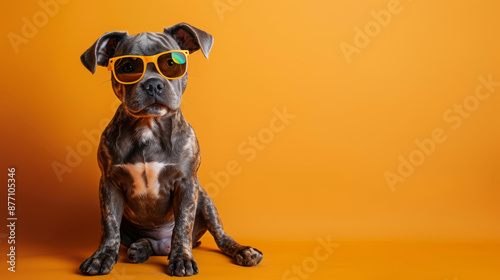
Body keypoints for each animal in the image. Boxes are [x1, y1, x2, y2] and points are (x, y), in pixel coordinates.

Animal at [78, 23, 262, 276]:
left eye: (172, 64)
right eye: (127, 67)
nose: (153, 84)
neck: (149, 127)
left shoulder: (187, 184)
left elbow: (182, 226)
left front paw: (182, 259)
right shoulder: (109, 184)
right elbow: (110, 225)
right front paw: (102, 256)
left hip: (205, 200)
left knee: (220, 235)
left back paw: (243, 251)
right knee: (142, 241)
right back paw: (141, 248)